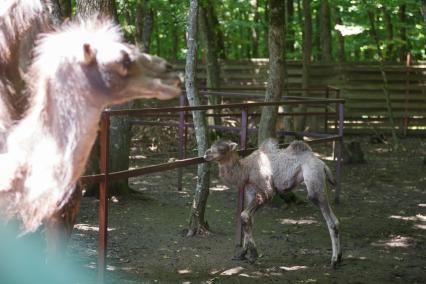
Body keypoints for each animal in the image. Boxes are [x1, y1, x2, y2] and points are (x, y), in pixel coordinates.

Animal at [204, 139, 342, 268]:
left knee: (330, 220)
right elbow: (249, 219)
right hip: (319, 182)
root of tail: (323, 164)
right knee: (335, 220)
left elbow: (244, 215)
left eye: (222, 149)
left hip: (314, 181)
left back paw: (334, 261)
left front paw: (253, 256)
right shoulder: (251, 191)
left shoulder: (267, 191)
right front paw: (242, 254)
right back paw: (339, 258)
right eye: (212, 145)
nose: (206, 154)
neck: (246, 170)